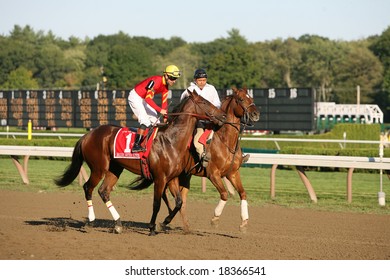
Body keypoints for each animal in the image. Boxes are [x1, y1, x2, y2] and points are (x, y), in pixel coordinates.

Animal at [54, 89, 225, 234]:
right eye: (204, 102)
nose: (223, 116)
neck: (171, 141)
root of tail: (87, 135)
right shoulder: (160, 178)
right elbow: (156, 203)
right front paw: (152, 227)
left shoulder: (172, 179)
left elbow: (178, 202)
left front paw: (164, 222)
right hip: (98, 168)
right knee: (88, 188)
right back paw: (90, 221)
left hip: (114, 169)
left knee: (103, 191)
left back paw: (118, 224)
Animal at [129, 88, 260, 233]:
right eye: (241, 99)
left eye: (251, 98)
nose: (256, 114)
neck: (225, 140)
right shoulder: (213, 174)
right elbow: (224, 194)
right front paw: (215, 219)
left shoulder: (232, 173)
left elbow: (243, 194)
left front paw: (244, 222)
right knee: (166, 195)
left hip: (183, 176)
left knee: (180, 199)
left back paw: (184, 225)